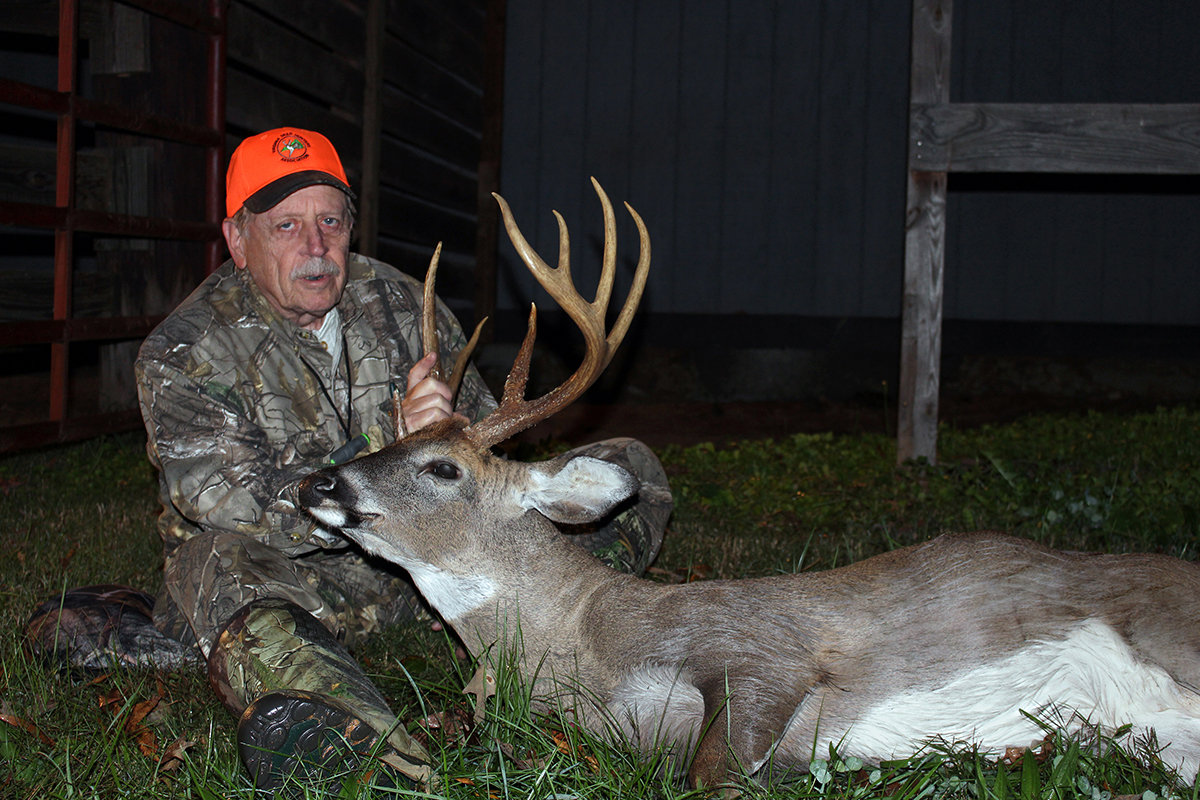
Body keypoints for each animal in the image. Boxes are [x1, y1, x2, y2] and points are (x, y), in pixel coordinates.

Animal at [298, 179, 1200, 790]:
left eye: (442, 468)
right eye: (393, 440)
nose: (317, 484)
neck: (585, 645)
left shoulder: (757, 649)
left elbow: (712, 771)